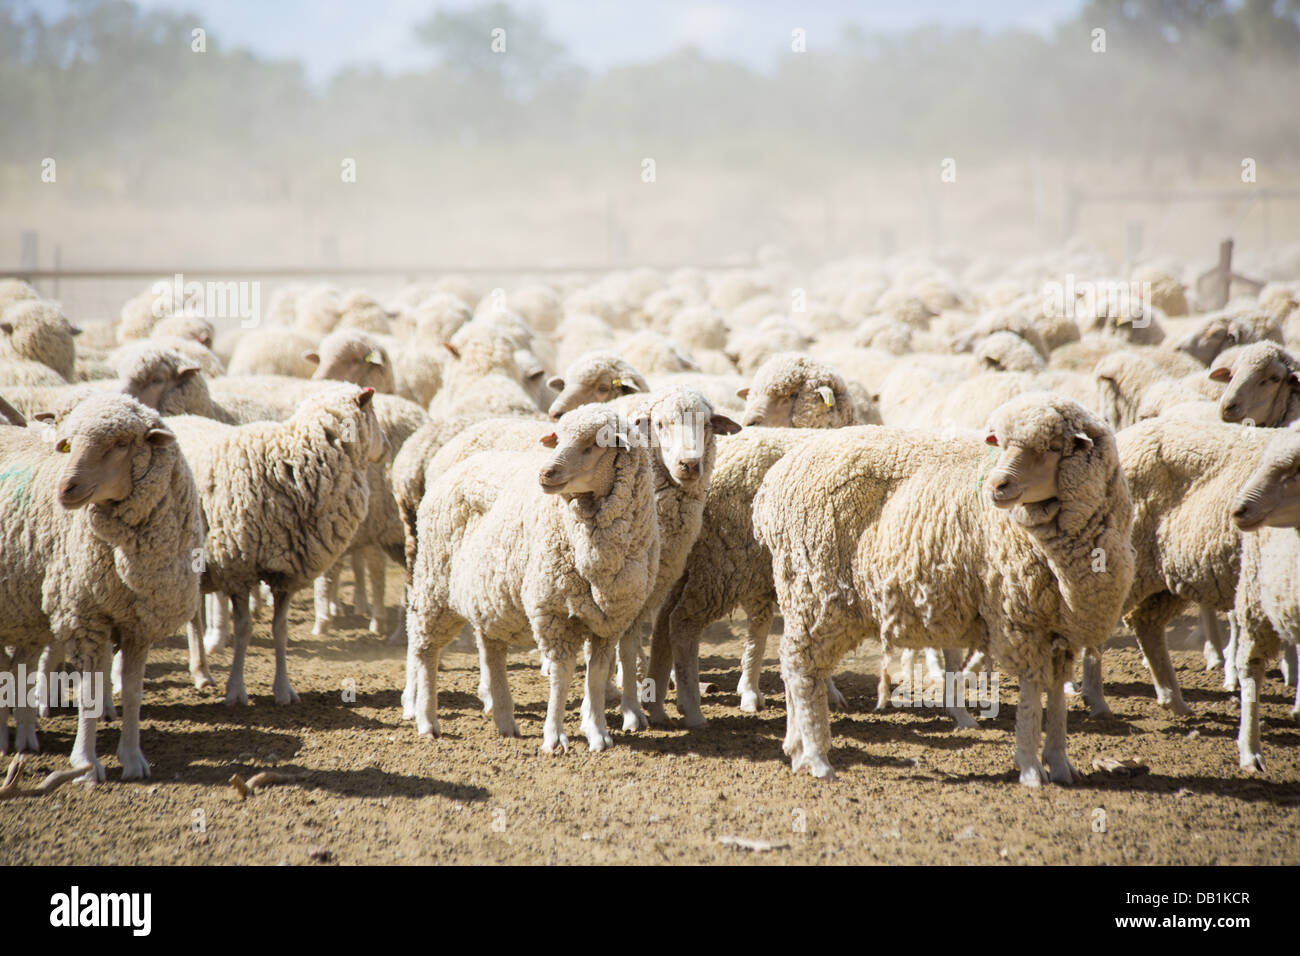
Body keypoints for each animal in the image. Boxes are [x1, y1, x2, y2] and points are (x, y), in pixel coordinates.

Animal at [0, 394, 201, 778]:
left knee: (16, 668)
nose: (65, 489)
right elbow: (90, 692)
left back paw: (19, 738)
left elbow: (134, 692)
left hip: (24, 615)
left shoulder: (140, 623)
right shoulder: (85, 617)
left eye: (121, 444)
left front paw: (133, 759)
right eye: (68, 444)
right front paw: (85, 763)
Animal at [167, 384, 389, 702]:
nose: (388, 447)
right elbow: (244, 628)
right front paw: (236, 690)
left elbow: (281, 630)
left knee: (193, 614)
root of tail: (176, 419)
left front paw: (284, 690)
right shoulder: (237, 567)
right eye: (372, 414)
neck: (292, 460)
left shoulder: (287, 573)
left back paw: (201, 672)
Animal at [405, 403, 659, 751]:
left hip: (488, 595)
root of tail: (456, 467)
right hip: (434, 584)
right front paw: (555, 736)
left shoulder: (611, 621)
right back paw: (427, 720)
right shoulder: (552, 611)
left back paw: (504, 721)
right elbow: (561, 674)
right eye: (558, 439)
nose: (545, 473)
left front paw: (598, 732)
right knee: (425, 648)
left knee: (491, 650)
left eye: (593, 445)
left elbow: (596, 674)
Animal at [752, 395, 1134, 782]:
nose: (996, 485)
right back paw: (817, 758)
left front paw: (1059, 762)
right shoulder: (1019, 617)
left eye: (1053, 448)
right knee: (802, 670)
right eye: (1003, 445)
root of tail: (774, 482)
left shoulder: (1061, 628)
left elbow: (1055, 694)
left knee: (791, 665)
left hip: (800, 590)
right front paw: (1029, 767)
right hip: (817, 590)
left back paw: (796, 748)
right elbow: (1030, 691)